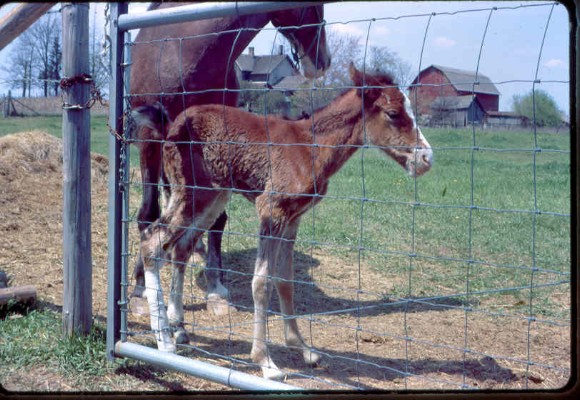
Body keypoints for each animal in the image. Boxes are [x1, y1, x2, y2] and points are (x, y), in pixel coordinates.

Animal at [130, 2, 330, 312]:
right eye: (316, 6)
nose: (324, 60)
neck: (185, 51)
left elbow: (216, 221)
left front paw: (215, 287)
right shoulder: (147, 140)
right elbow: (148, 214)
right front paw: (141, 287)